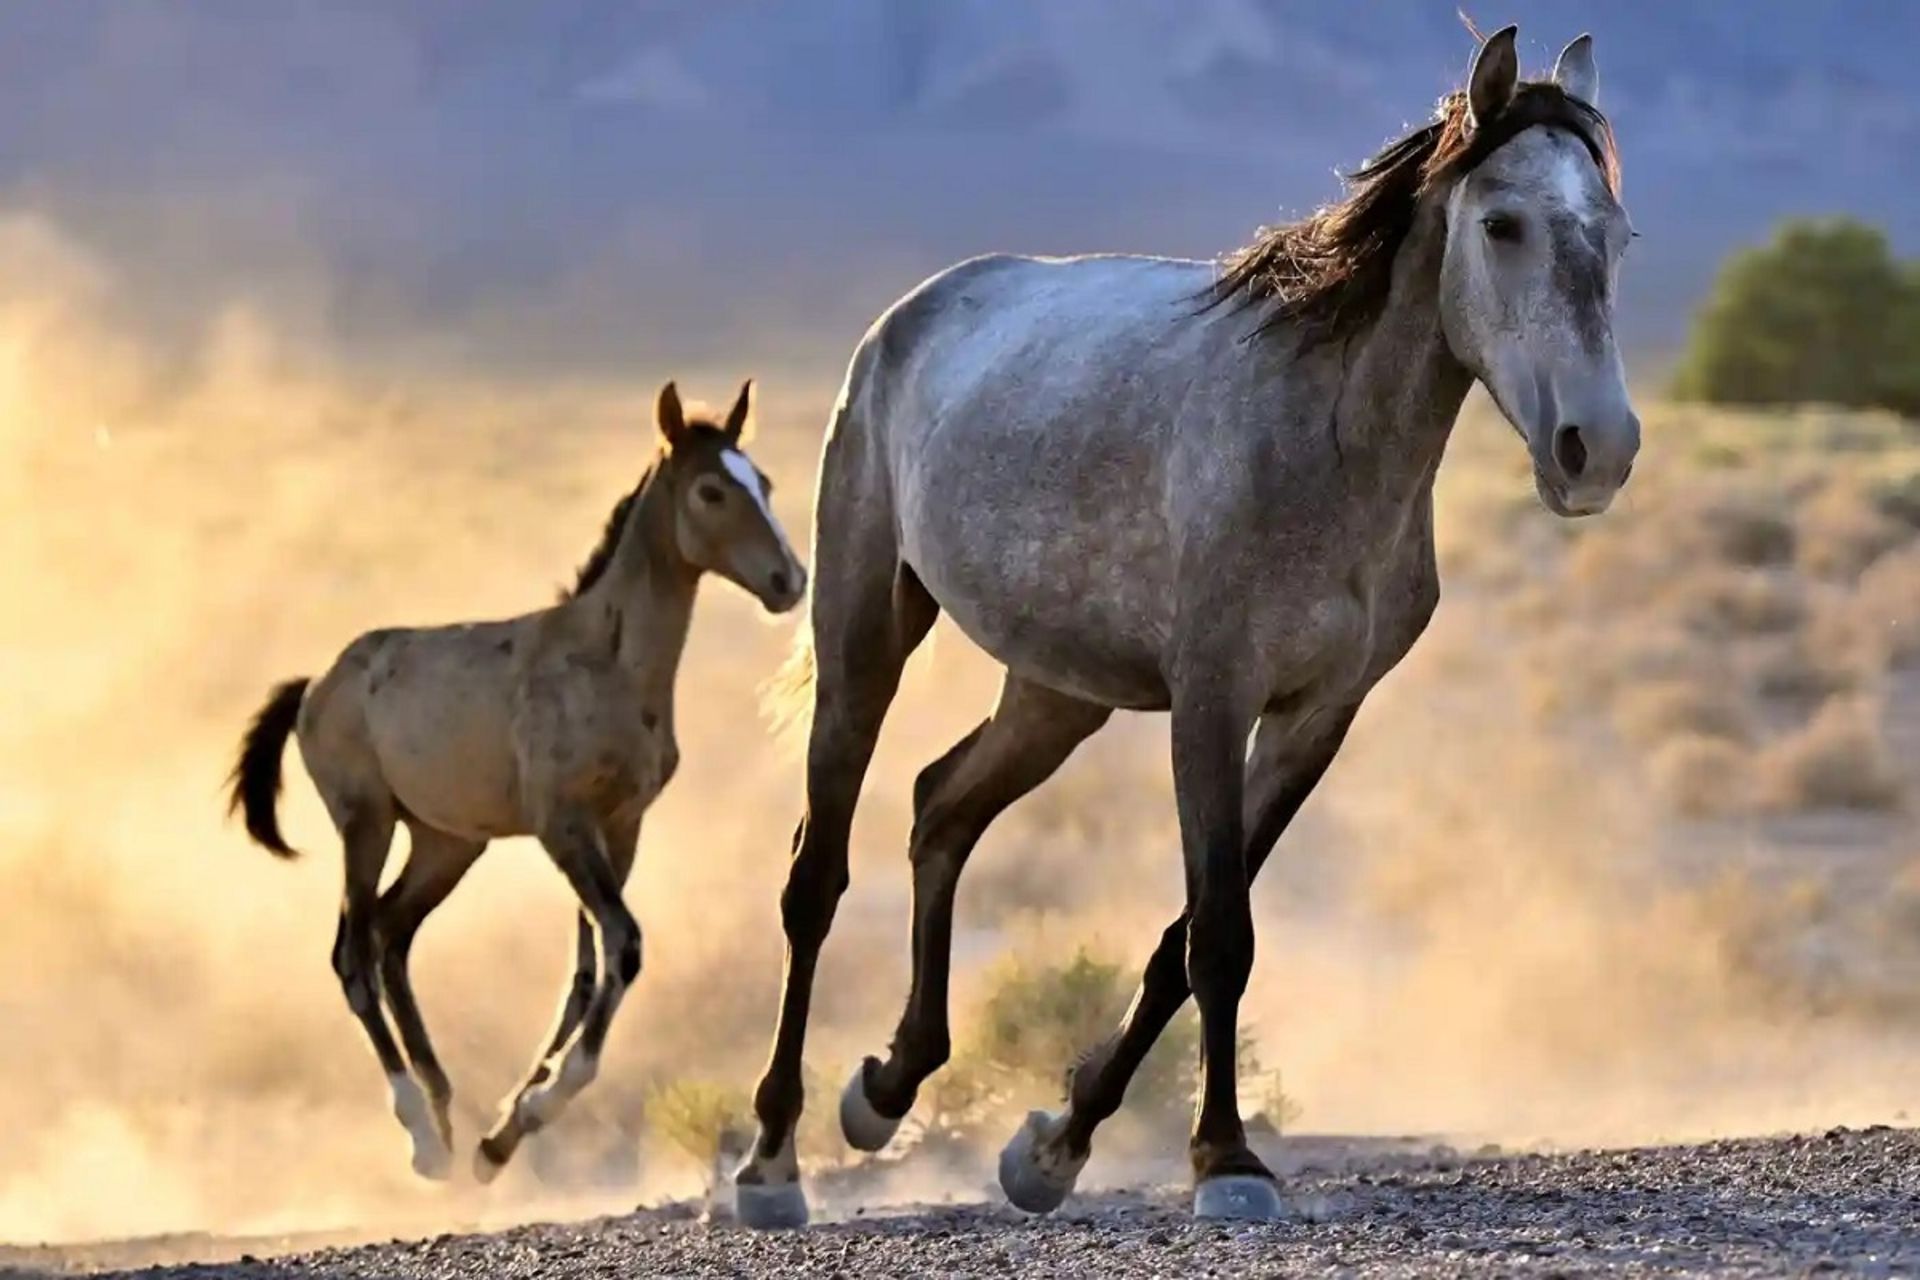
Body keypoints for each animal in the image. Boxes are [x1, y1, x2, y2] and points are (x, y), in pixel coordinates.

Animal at [228, 379, 806, 1182]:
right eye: (711, 490)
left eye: (766, 483)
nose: (789, 582)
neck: (606, 661)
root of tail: (316, 684)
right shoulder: (562, 825)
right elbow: (622, 944)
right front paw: (538, 1102)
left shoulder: (620, 826)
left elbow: (590, 967)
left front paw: (504, 1133)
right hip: (367, 822)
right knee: (354, 953)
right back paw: (421, 1136)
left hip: (445, 843)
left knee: (391, 936)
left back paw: (447, 1120)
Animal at [733, 27, 1635, 1228]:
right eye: (1503, 224)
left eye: (1616, 235)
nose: (1598, 448)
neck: (1324, 442)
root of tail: (906, 318)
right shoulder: (1210, 700)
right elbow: (1221, 934)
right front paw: (1225, 1160)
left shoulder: (1314, 717)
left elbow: (1183, 938)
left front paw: (1054, 1146)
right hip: (864, 637)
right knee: (816, 875)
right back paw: (771, 1160)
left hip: (1055, 694)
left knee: (940, 808)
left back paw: (886, 1087)